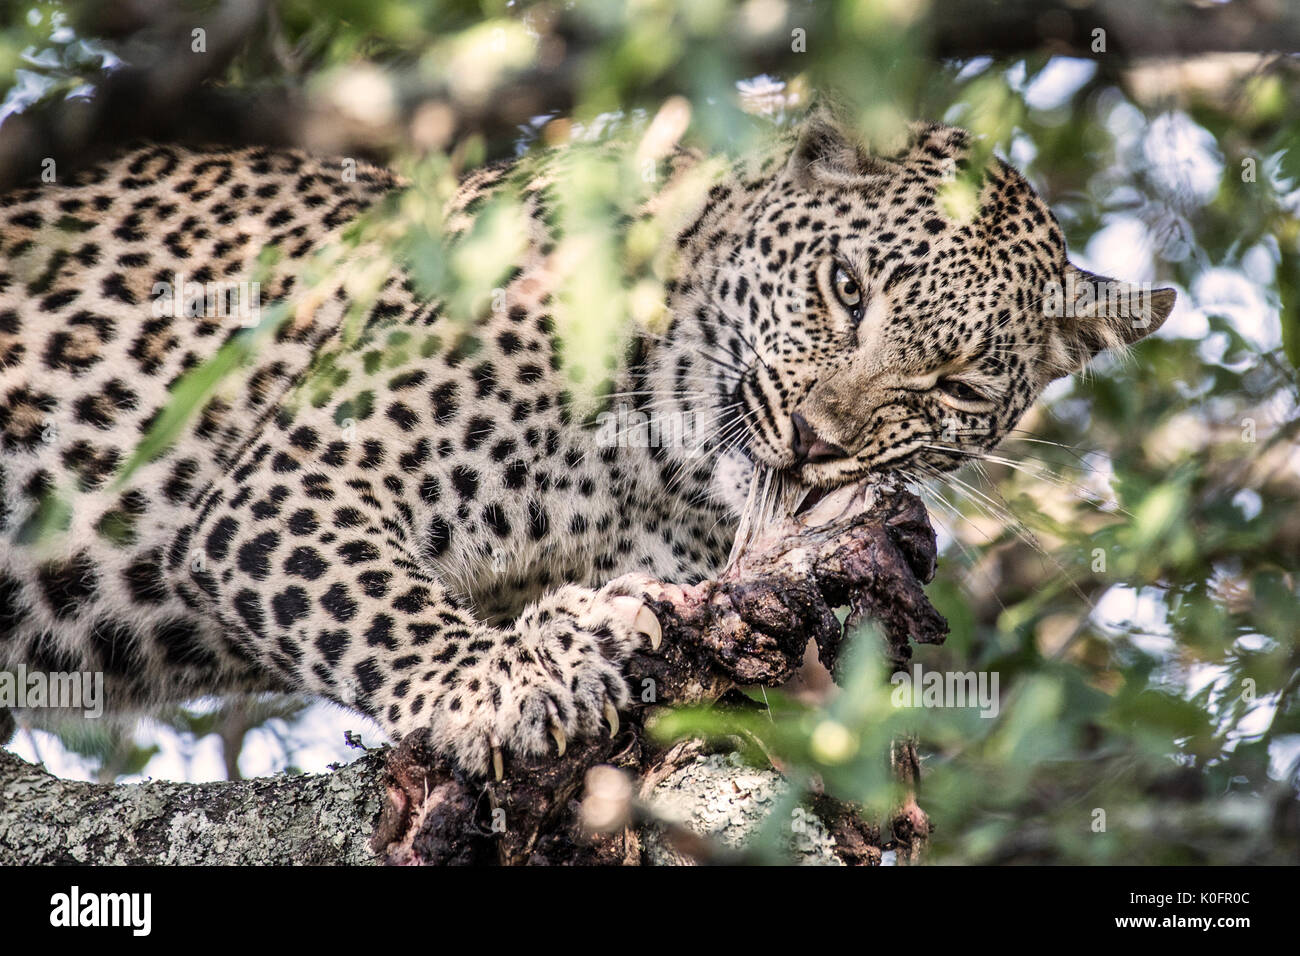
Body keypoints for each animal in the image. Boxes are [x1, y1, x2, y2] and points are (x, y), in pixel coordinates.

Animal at [0, 110, 1180, 780]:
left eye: (960, 383)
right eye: (847, 286)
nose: (815, 440)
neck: (654, 465)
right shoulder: (301, 472)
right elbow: (382, 604)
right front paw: (507, 684)